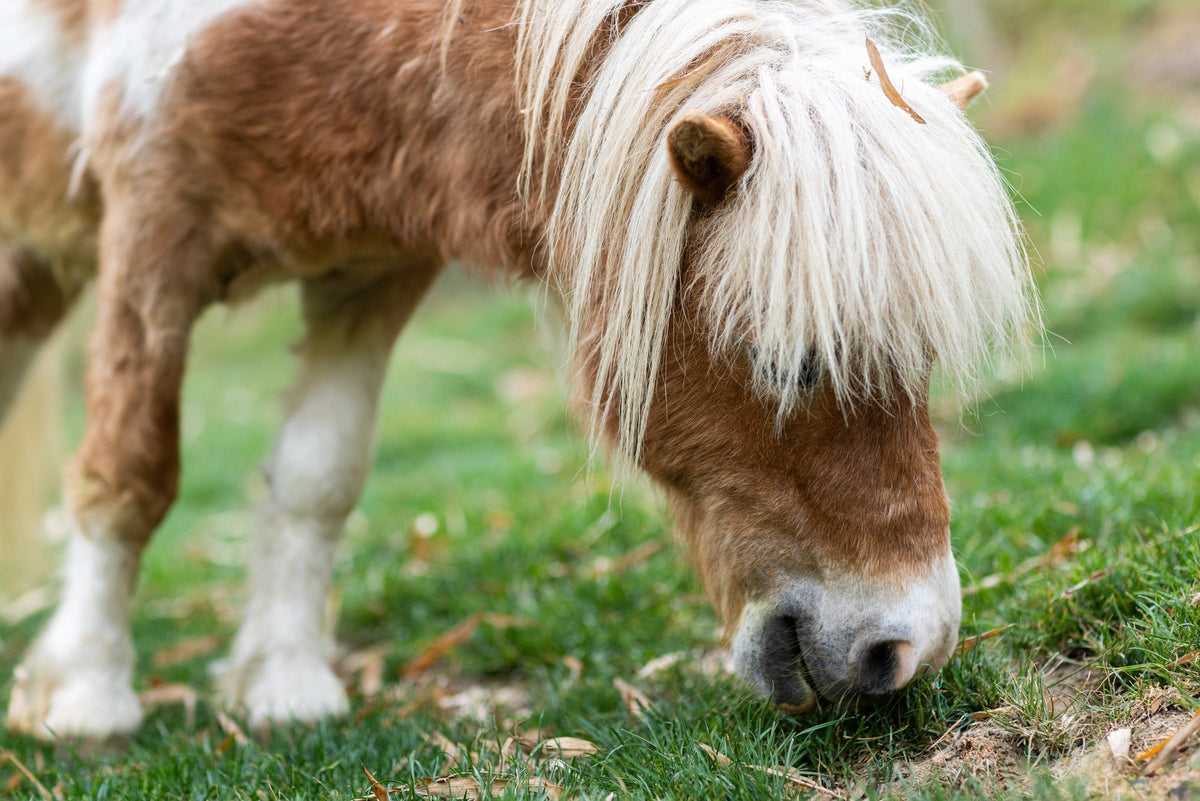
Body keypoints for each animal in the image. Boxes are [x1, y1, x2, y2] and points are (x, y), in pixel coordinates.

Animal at [0, 0, 1034, 739]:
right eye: (790, 360)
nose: (907, 647)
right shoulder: (154, 235)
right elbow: (127, 475)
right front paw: (85, 698)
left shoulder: (366, 276)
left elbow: (315, 479)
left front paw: (286, 686)